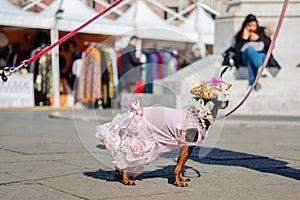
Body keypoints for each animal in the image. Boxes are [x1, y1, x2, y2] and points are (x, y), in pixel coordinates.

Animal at [95, 77, 231, 186]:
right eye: (219, 98)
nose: (228, 101)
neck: (200, 115)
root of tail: (133, 112)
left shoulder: (183, 146)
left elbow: (179, 163)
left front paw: (181, 178)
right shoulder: (188, 146)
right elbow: (179, 166)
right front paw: (178, 182)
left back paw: (119, 176)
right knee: (125, 160)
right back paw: (126, 179)